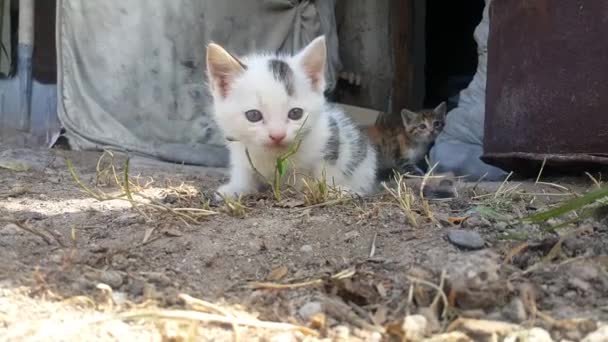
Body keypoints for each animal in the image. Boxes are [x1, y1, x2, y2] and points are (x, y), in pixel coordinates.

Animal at [205, 35, 376, 198]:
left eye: (295, 113)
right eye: (253, 115)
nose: (277, 135)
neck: (276, 157)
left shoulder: (330, 135)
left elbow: (325, 169)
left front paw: (333, 190)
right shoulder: (240, 150)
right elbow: (243, 171)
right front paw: (235, 188)